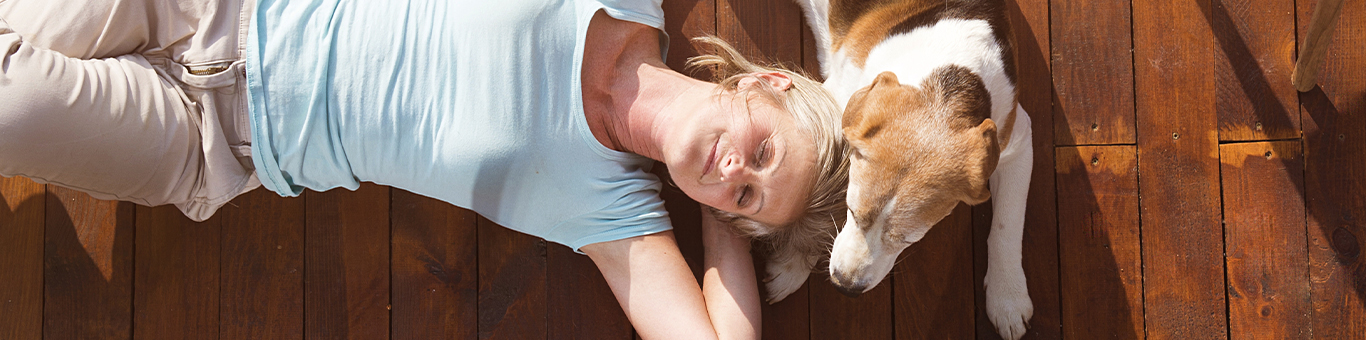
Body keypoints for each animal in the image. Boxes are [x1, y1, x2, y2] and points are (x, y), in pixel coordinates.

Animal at [792, 0, 1032, 337]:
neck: (941, 87)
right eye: (851, 210)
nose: (845, 286)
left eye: (908, 240)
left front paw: (1007, 298)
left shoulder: (1016, 138)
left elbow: (1006, 225)